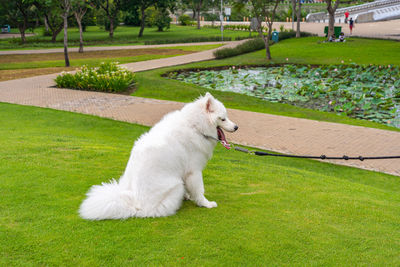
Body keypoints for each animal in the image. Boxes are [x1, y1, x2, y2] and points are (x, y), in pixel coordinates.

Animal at [79, 93, 239, 221]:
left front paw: (189, 196)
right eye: (223, 119)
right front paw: (206, 204)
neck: (195, 125)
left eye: (227, 117)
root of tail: (136, 205)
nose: (236, 127)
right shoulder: (194, 171)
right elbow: (200, 190)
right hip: (176, 185)